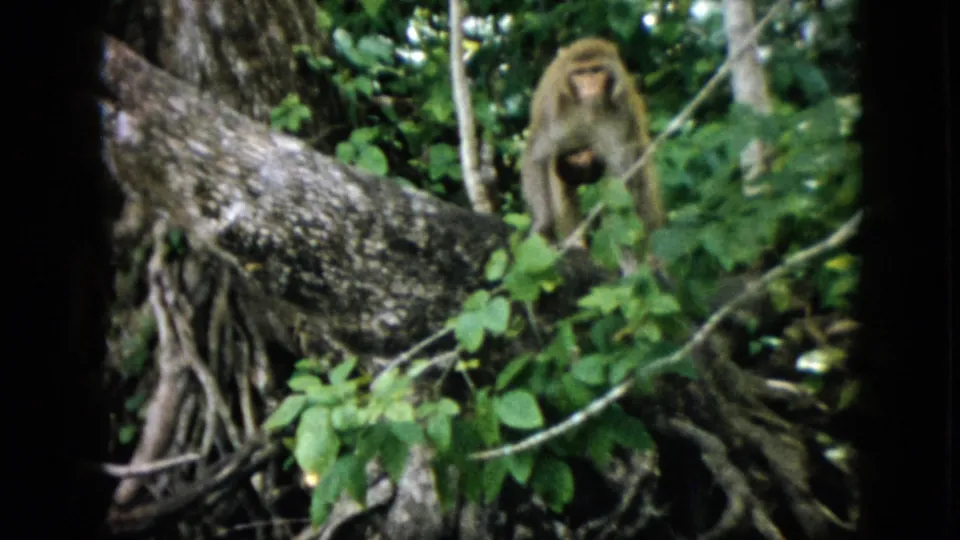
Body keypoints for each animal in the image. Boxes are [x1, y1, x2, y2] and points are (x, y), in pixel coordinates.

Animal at [520, 38, 665, 255]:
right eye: (580, 73)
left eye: (596, 70)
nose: (589, 85)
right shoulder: (553, 112)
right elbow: (537, 156)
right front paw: (544, 227)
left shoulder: (623, 111)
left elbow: (623, 173)